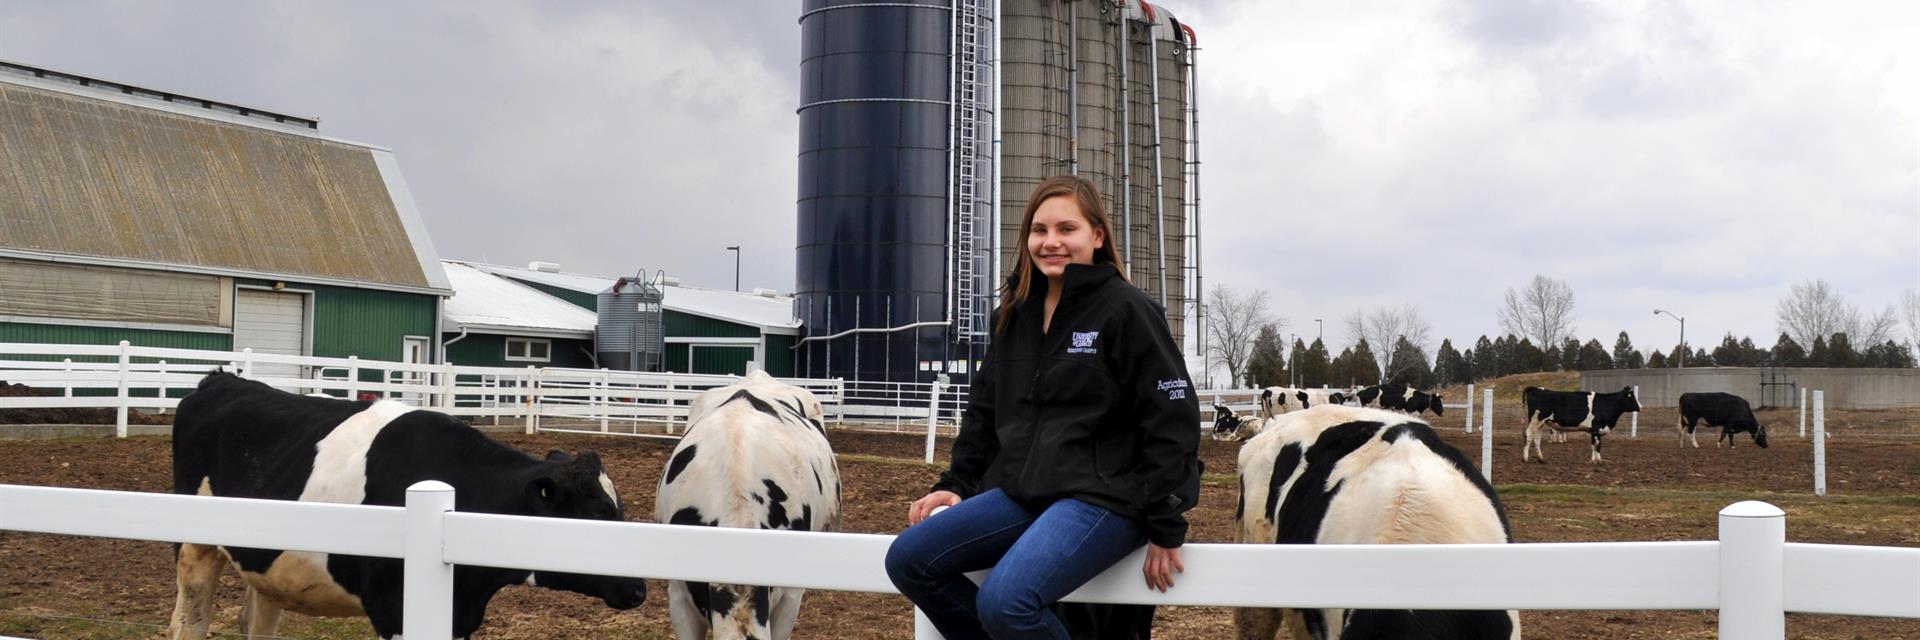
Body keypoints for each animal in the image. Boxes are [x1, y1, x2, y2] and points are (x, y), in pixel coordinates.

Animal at [167, 369, 645, 638]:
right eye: (597, 514)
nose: (639, 589)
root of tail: (220, 380)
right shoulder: (393, 608)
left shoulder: (456, 616)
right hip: (194, 548)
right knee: (189, 622)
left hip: (267, 564)